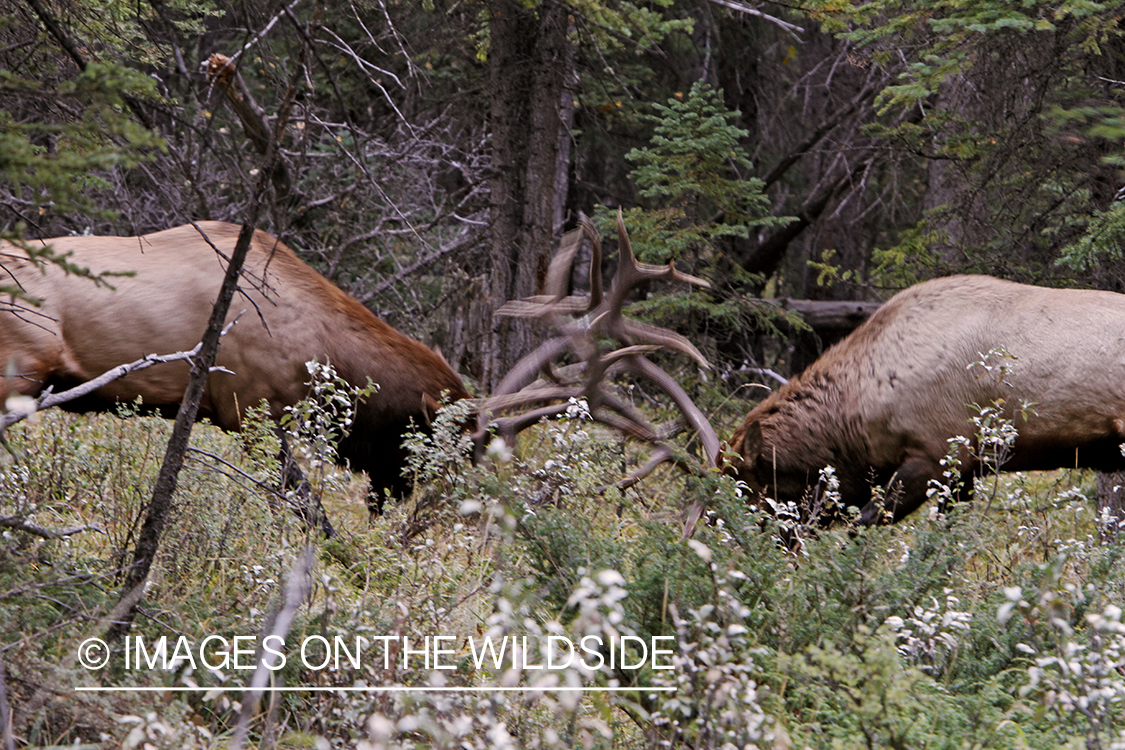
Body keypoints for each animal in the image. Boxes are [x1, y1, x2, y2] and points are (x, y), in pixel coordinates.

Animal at [0, 221, 469, 533]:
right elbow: (306, 505)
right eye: (428, 440)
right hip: (21, 373)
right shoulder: (250, 413)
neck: (326, 354)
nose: (397, 498)